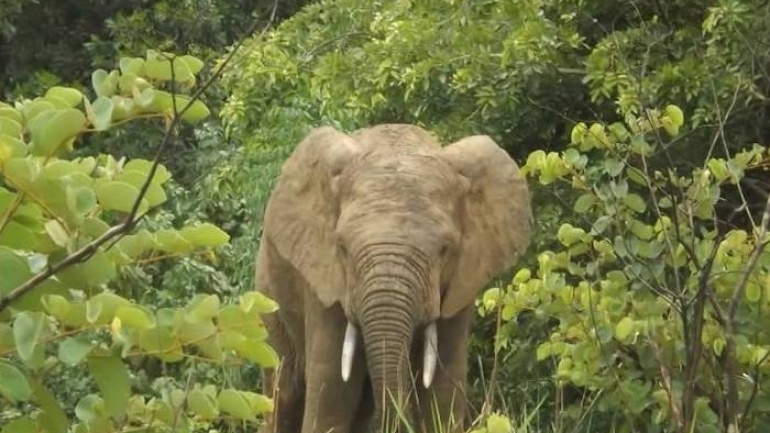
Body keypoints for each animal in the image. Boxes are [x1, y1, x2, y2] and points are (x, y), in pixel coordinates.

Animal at [255, 122, 532, 432]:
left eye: (445, 250)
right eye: (342, 247)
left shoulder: (461, 285)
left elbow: (442, 391)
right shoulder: (325, 281)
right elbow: (332, 395)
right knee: (284, 390)